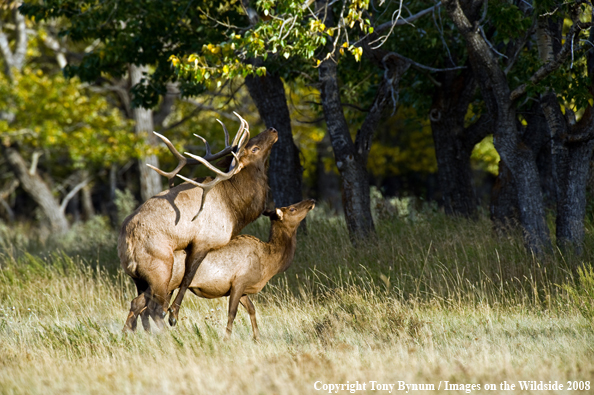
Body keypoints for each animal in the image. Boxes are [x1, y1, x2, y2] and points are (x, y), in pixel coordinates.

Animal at [120, 113, 280, 332]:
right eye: (254, 148)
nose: (272, 129)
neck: (235, 210)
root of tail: (125, 245)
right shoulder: (203, 241)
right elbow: (188, 277)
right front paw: (174, 315)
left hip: (137, 277)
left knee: (137, 305)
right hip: (159, 268)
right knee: (153, 307)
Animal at [187, 200, 314, 342]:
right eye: (292, 208)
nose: (311, 201)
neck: (269, 264)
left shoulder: (243, 288)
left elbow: (252, 309)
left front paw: (257, 337)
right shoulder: (239, 281)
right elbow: (232, 313)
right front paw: (226, 339)